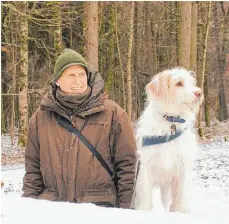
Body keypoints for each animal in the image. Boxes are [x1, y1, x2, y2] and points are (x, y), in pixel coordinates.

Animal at [131, 67, 203, 213]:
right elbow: (145, 195)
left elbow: (181, 196)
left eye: (192, 83)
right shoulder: (145, 166)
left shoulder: (182, 167)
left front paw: (180, 211)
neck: (171, 123)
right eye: (179, 83)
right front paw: (143, 210)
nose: (199, 93)